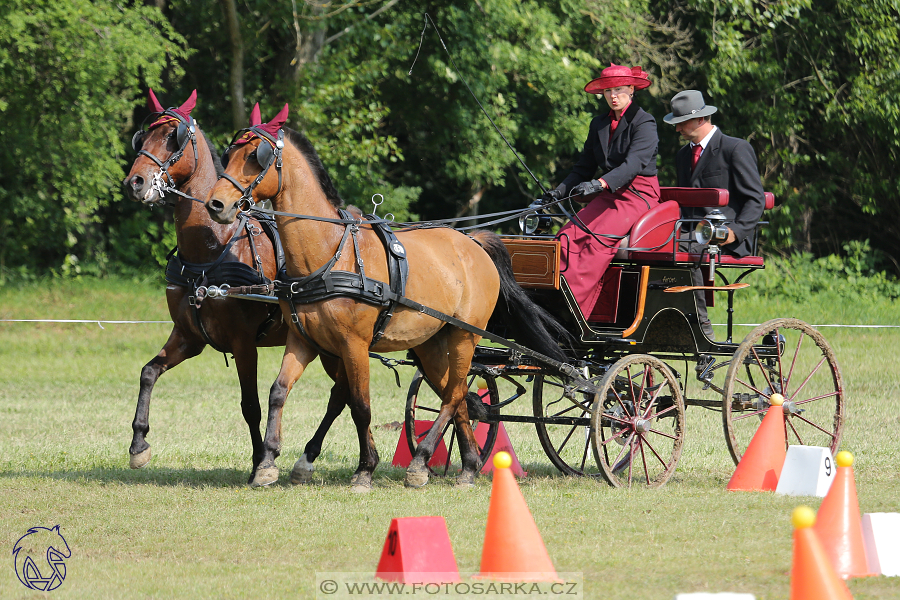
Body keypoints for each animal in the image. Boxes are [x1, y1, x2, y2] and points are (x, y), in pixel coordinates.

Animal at [121, 90, 290, 482]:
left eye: (174, 137)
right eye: (142, 137)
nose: (135, 182)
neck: (212, 248)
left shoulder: (244, 343)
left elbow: (250, 405)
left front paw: (260, 462)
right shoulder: (189, 336)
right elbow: (148, 372)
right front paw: (139, 443)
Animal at [207, 105, 568, 490]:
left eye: (254, 157)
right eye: (229, 155)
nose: (216, 204)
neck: (329, 254)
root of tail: (473, 242)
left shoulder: (354, 344)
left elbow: (360, 405)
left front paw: (366, 469)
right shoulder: (303, 340)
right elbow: (279, 390)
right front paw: (268, 462)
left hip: (464, 336)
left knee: (454, 395)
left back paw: (421, 461)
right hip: (431, 342)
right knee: (456, 396)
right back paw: (468, 466)